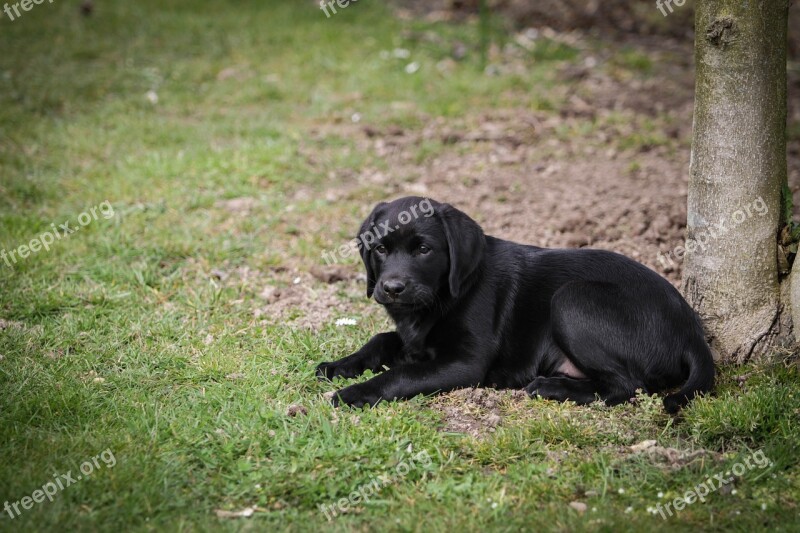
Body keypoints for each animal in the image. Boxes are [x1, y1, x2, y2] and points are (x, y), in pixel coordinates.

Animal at [316, 195, 716, 412]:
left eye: (424, 250)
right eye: (381, 249)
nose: (392, 287)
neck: (446, 294)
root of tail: (692, 331)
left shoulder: (464, 364)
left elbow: (400, 375)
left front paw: (356, 392)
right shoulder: (414, 339)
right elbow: (381, 340)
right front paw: (339, 366)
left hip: (572, 300)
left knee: (628, 386)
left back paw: (552, 388)